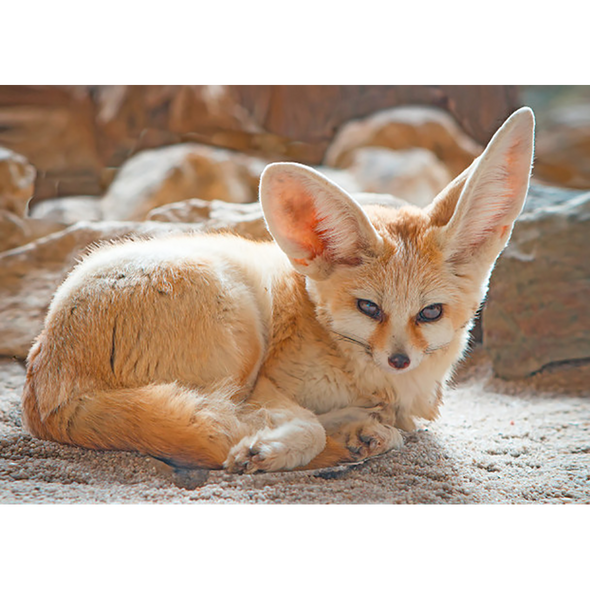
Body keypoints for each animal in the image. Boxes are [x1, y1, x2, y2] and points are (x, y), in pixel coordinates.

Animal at [22, 107, 536, 476]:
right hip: (241, 332)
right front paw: (276, 448)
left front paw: (361, 430)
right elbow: (305, 425)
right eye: (369, 307)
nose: (398, 359)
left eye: (430, 313)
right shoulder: (265, 385)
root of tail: (47, 398)